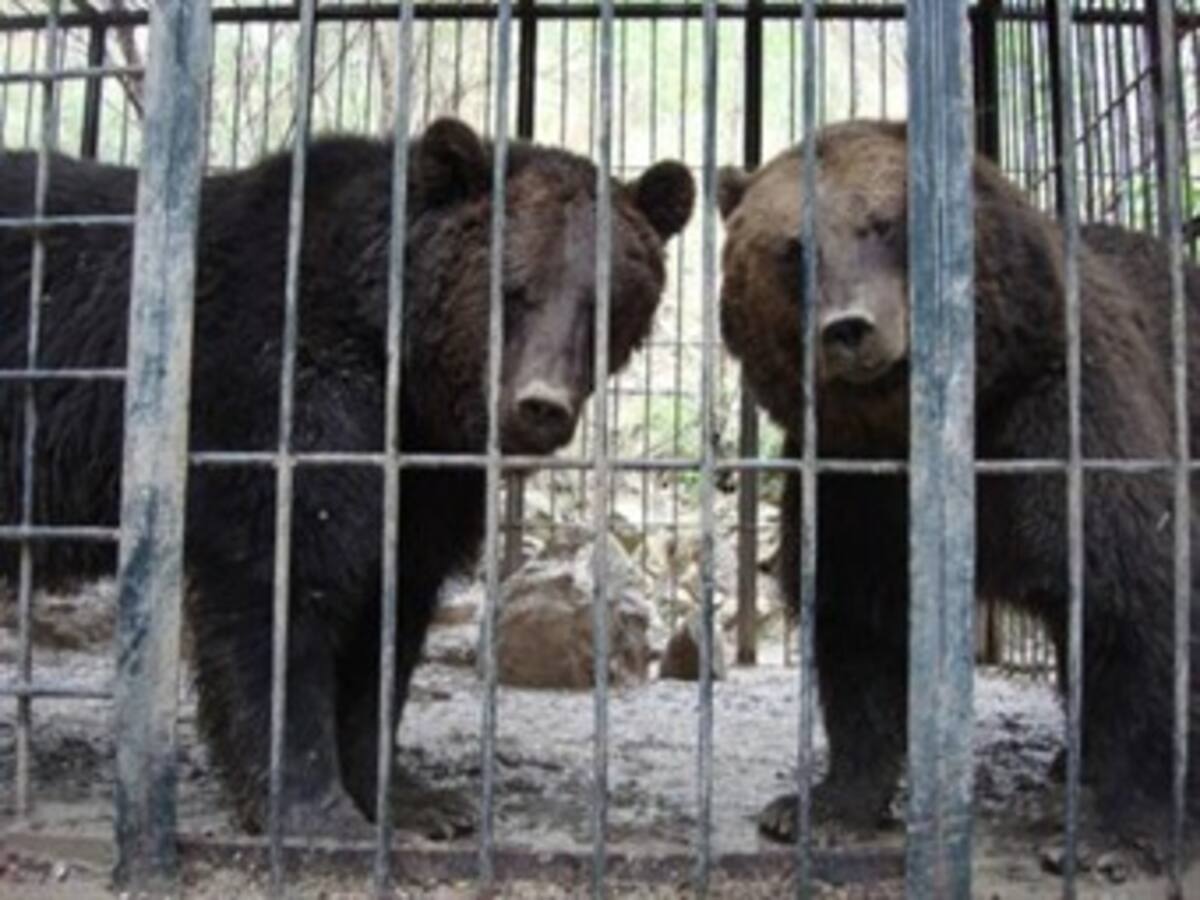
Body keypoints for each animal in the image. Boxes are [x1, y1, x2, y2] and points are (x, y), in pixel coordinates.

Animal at [0, 117, 695, 836]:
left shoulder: (426, 473)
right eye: (512, 288)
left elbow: (390, 613)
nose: (541, 405)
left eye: (604, 304)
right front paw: (315, 807)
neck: (398, 360)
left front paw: (411, 798)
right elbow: (283, 579)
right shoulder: (277, 386)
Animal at [716, 119, 1199, 849]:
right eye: (792, 248)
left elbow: (1130, 593)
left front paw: (1116, 830)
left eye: (882, 223)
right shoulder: (857, 484)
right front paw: (822, 806)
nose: (848, 329)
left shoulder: (1063, 419)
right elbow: (857, 629)